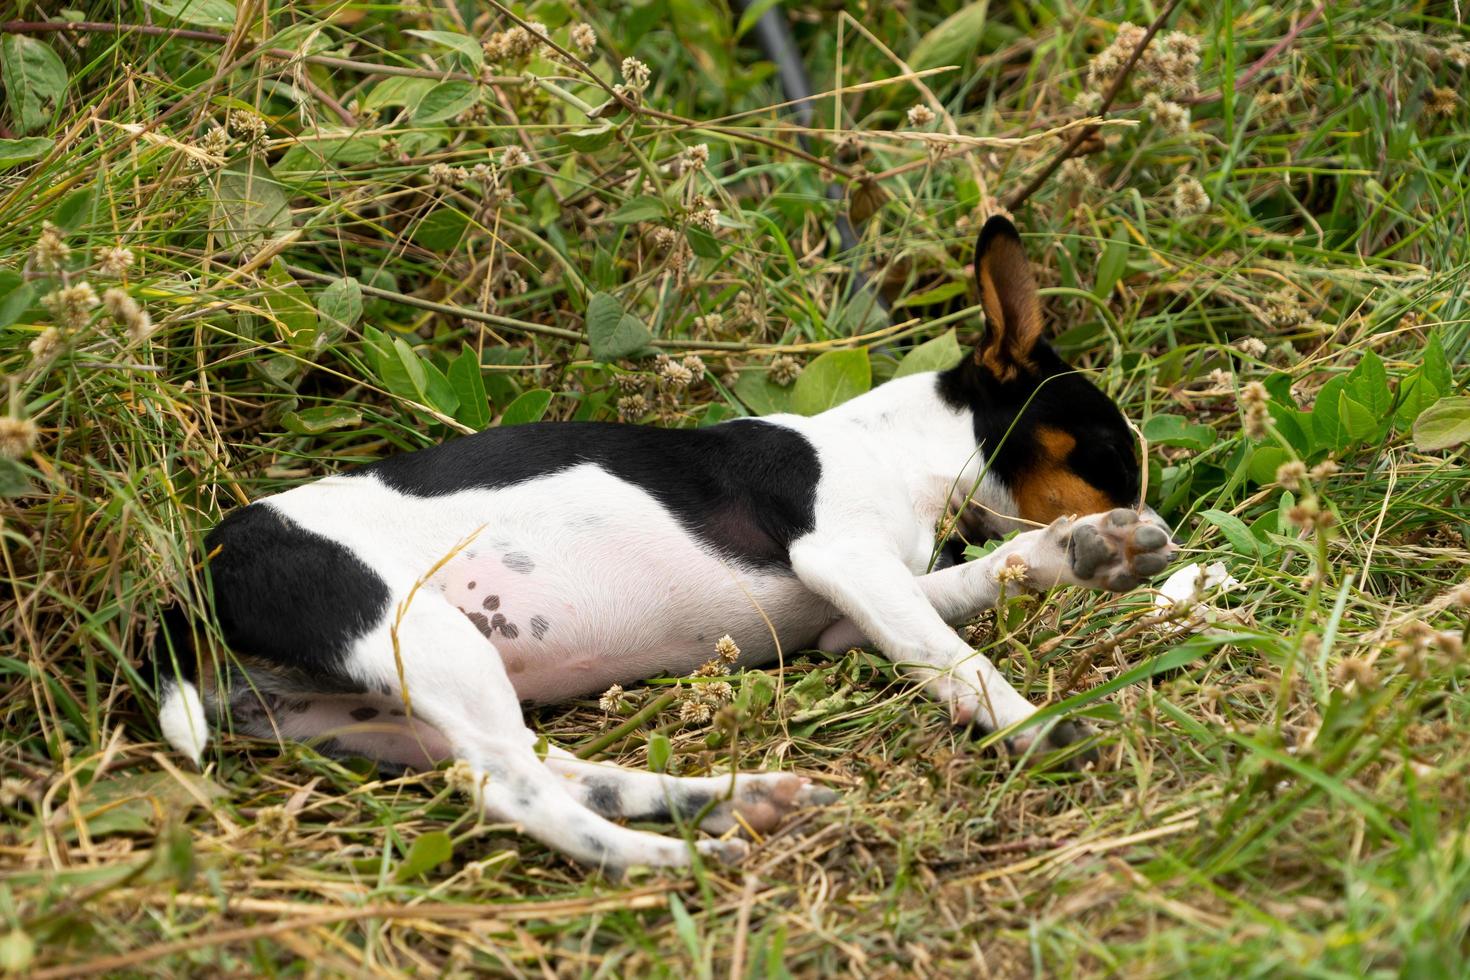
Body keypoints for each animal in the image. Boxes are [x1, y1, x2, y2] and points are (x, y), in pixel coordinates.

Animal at [158, 214, 1170, 863]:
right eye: (1113, 451)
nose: (1147, 512)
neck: (895, 447)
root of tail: (198, 578)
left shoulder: (852, 610)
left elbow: (979, 582)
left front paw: (1083, 552)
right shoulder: (841, 557)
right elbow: (962, 660)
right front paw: (1037, 725)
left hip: (373, 713)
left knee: (561, 775)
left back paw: (727, 802)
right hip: (419, 638)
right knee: (512, 793)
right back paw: (671, 861)